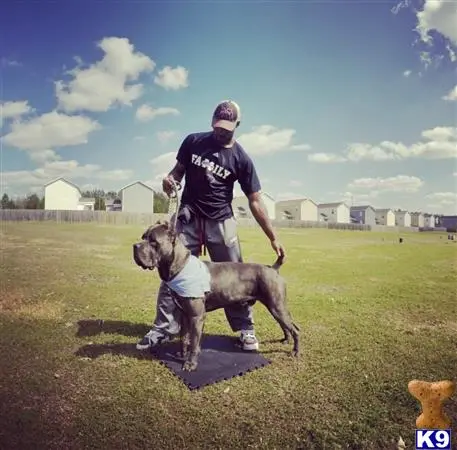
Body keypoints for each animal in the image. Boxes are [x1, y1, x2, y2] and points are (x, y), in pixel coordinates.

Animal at [132, 220, 300, 370]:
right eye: (143, 237)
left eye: (153, 241)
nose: (135, 246)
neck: (180, 266)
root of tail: (273, 268)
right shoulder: (184, 314)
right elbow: (184, 338)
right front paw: (181, 354)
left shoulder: (197, 316)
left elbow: (194, 342)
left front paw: (190, 364)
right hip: (275, 307)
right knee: (286, 325)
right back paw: (286, 340)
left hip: (276, 306)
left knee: (295, 329)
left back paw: (295, 352)